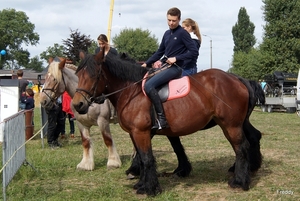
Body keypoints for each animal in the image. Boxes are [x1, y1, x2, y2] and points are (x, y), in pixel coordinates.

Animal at [72, 50, 262, 196]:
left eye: (94, 75)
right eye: (77, 75)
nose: (77, 105)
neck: (131, 91)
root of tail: (237, 79)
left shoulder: (141, 132)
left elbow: (147, 158)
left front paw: (150, 189)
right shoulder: (135, 133)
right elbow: (142, 158)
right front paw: (141, 184)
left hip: (231, 125)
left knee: (241, 147)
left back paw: (240, 181)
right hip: (236, 123)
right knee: (252, 139)